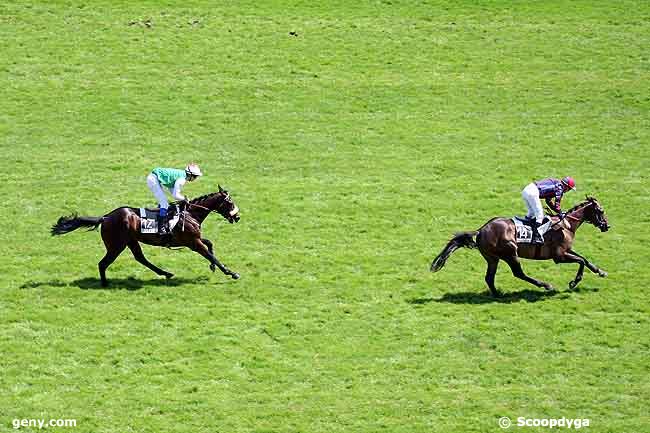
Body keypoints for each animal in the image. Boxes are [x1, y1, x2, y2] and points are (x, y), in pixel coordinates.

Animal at [52, 184, 240, 286]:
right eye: (230, 202)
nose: (237, 217)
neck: (190, 213)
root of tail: (106, 217)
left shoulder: (194, 240)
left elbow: (210, 245)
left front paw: (213, 267)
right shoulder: (193, 242)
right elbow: (210, 254)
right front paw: (231, 272)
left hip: (130, 241)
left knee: (140, 258)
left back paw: (166, 273)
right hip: (116, 245)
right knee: (103, 263)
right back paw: (105, 284)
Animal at [430, 197, 608, 296]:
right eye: (601, 211)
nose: (607, 226)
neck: (567, 225)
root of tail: (481, 230)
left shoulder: (566, 250)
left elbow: (584, 259)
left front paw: (600, 271)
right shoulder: (559, 256)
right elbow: (581, 261)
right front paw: (574, 282)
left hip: (492, 258)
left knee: (489, 277)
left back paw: (497, 295)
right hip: (510, 253)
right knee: (518, 273)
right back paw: (545, 285)